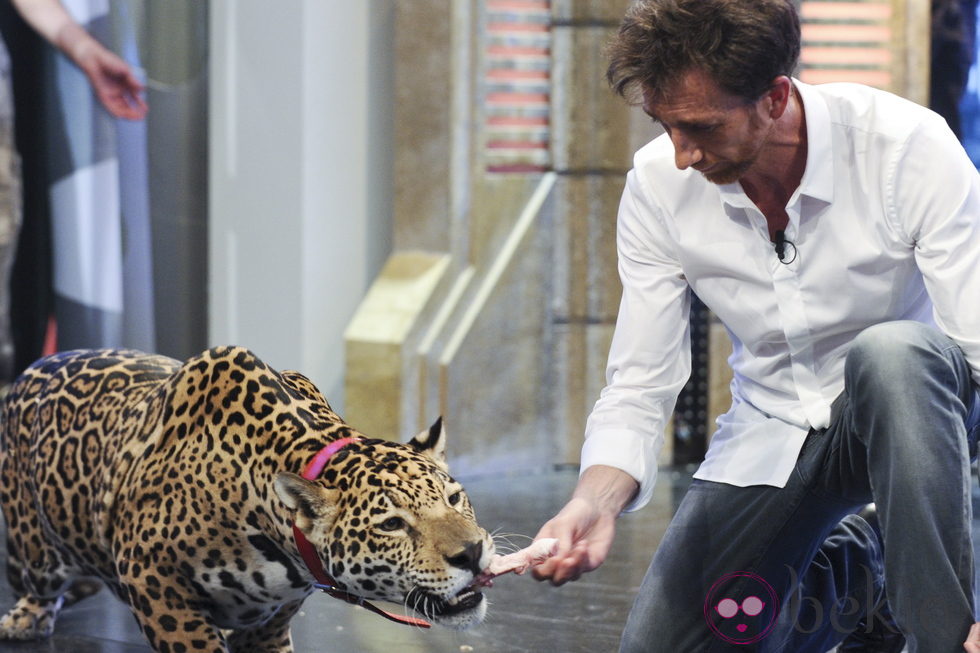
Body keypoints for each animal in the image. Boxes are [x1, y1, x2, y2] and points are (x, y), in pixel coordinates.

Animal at [0, 344, 494, 648]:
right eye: (392, 524)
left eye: (454, 499)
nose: (472, 553)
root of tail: (28, 370)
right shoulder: (149, 576)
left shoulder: (274, 614)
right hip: (36, 550)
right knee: (40, 583)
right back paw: (24, 619)